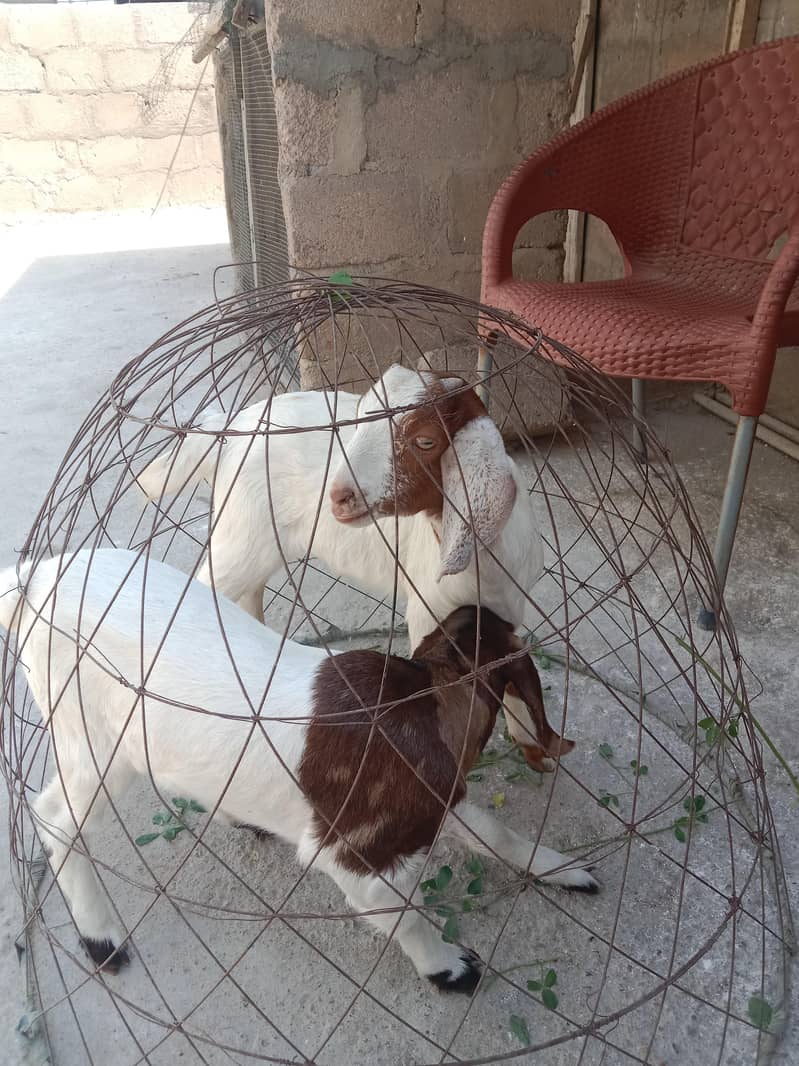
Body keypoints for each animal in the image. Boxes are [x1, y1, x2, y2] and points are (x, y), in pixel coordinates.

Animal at [0, 550, 595, 990]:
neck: (425, 697)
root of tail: (32, 578)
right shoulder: (350, 850)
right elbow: (404, 912)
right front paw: (449, 968)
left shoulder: (438, 797)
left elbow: (494, 833)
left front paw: (564, 868)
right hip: (93, 742)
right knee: (55, 817)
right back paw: (103, 941)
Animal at [137, 365, 555, 769]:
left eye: (425, 441)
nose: (338, 496)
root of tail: (232, 427)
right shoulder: (429, 614)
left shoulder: (508, 611)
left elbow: (512, 671)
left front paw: (534, 751)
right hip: (238, 536)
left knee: (249, 593)